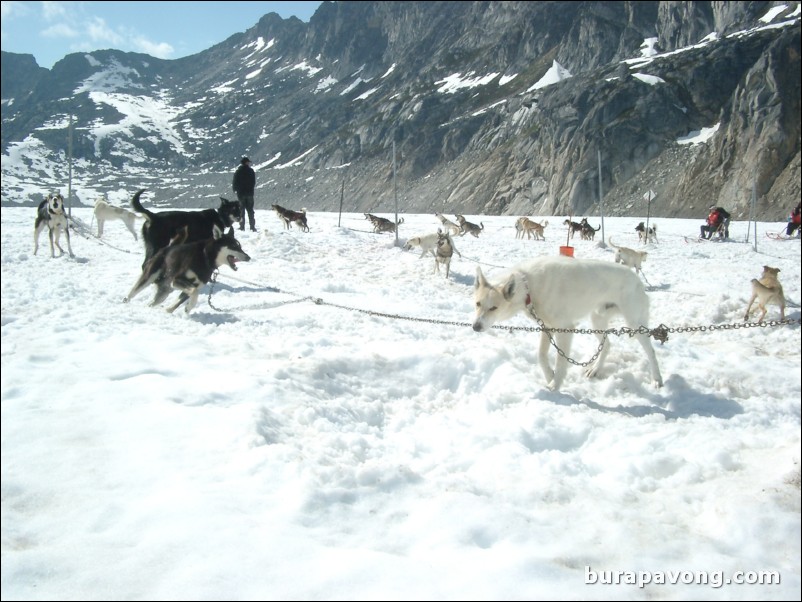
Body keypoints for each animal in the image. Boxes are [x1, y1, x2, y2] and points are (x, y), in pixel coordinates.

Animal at [468, 255, 664, 392]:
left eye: (493, 308)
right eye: (477, 304)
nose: (476, 327)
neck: (529, 286)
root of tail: (638, 280)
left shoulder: (565, 330)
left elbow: (561, 362)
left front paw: (554, 385)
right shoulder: (547, 327)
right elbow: (541, 355)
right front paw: (549, 375)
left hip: (635, 325)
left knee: (651, 351)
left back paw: (657, 379)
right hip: (597, 322)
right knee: (607, 345)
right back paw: (595, 369)